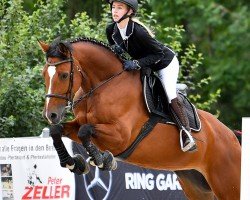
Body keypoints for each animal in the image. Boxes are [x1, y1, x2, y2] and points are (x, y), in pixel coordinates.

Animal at [38, 38, 240, 200]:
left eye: (64, 75)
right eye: (44, 74)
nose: (51, 115)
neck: (101, 86)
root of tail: (231, 135)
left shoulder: (120, 136)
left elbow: (85, 130)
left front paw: (103, 160)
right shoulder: (79, 124)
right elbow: (58, 130)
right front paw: (73, 163)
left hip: (228, 185)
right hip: (196, 184)